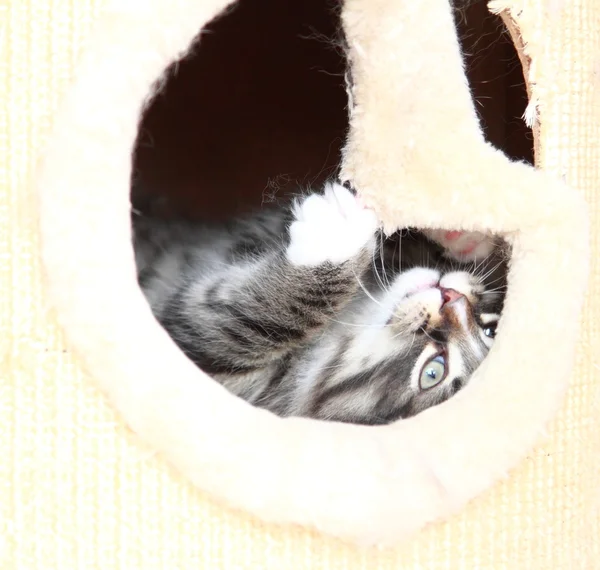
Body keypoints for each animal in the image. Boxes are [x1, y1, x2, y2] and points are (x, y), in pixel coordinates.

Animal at [132, 182, 506, 422]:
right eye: (490, 328)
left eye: (432, 373)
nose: (453, 300)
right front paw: (457, 229)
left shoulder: (211, 362)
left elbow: (243, 322)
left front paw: (336, 237)